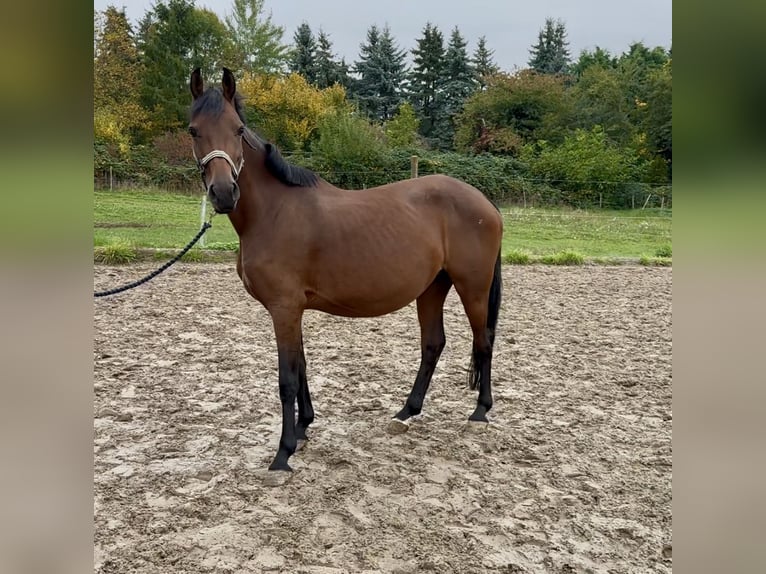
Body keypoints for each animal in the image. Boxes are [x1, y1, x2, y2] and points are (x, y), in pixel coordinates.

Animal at [188, 68, 503, 472]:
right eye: (194, 130)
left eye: (238, 129)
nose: (224, 193)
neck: (273, 212)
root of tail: (485, 203)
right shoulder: (291, 310)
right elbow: (302, 367)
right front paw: (303, 428)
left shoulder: (284, 308)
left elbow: (287, 379)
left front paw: (283, 454)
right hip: (433, 287)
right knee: (433, 344)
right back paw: (406, 412)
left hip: (472, 287)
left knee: (484, 341)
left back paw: (480, 412)